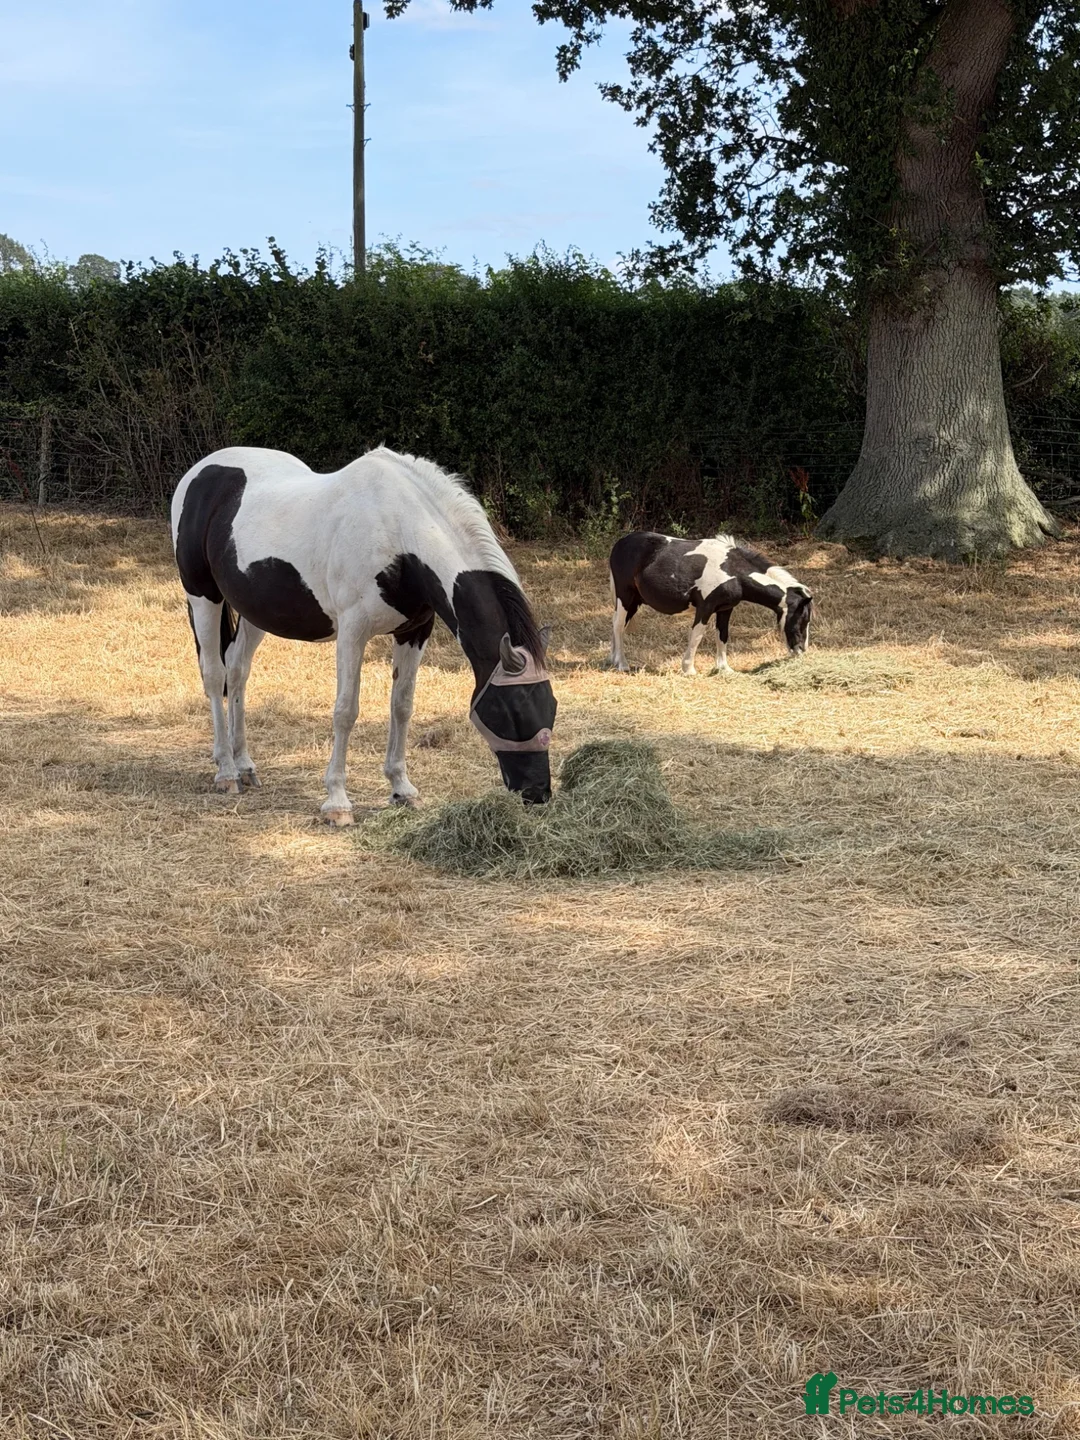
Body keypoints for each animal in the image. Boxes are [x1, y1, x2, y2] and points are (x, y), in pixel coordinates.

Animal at [171, 446, 557, 822]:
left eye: (550, 704)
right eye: (510, 710)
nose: (537, 793)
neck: (397, 531)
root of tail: (200, 472)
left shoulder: (415, 631)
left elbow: (402, 706)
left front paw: (402, 789)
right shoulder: (352, 632)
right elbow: (345, 711)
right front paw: (337, 802)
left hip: (257, 610)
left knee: (237, 670)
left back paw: (245, 765)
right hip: (203, 596)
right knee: (214, 674)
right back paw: (226, 771)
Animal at [608, 530, 813, 675]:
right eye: (802, 619)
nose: (800, 650)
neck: (733, 572)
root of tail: (620, 543)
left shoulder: (725, 609)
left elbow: (722, 635)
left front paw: (724, 668)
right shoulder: (705, 608)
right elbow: (697, 636)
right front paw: (689, 669)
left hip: (635, 601)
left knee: (618, 625)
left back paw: (614, 660)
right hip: (625, 596)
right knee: (618, 625)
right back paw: (622, 665)